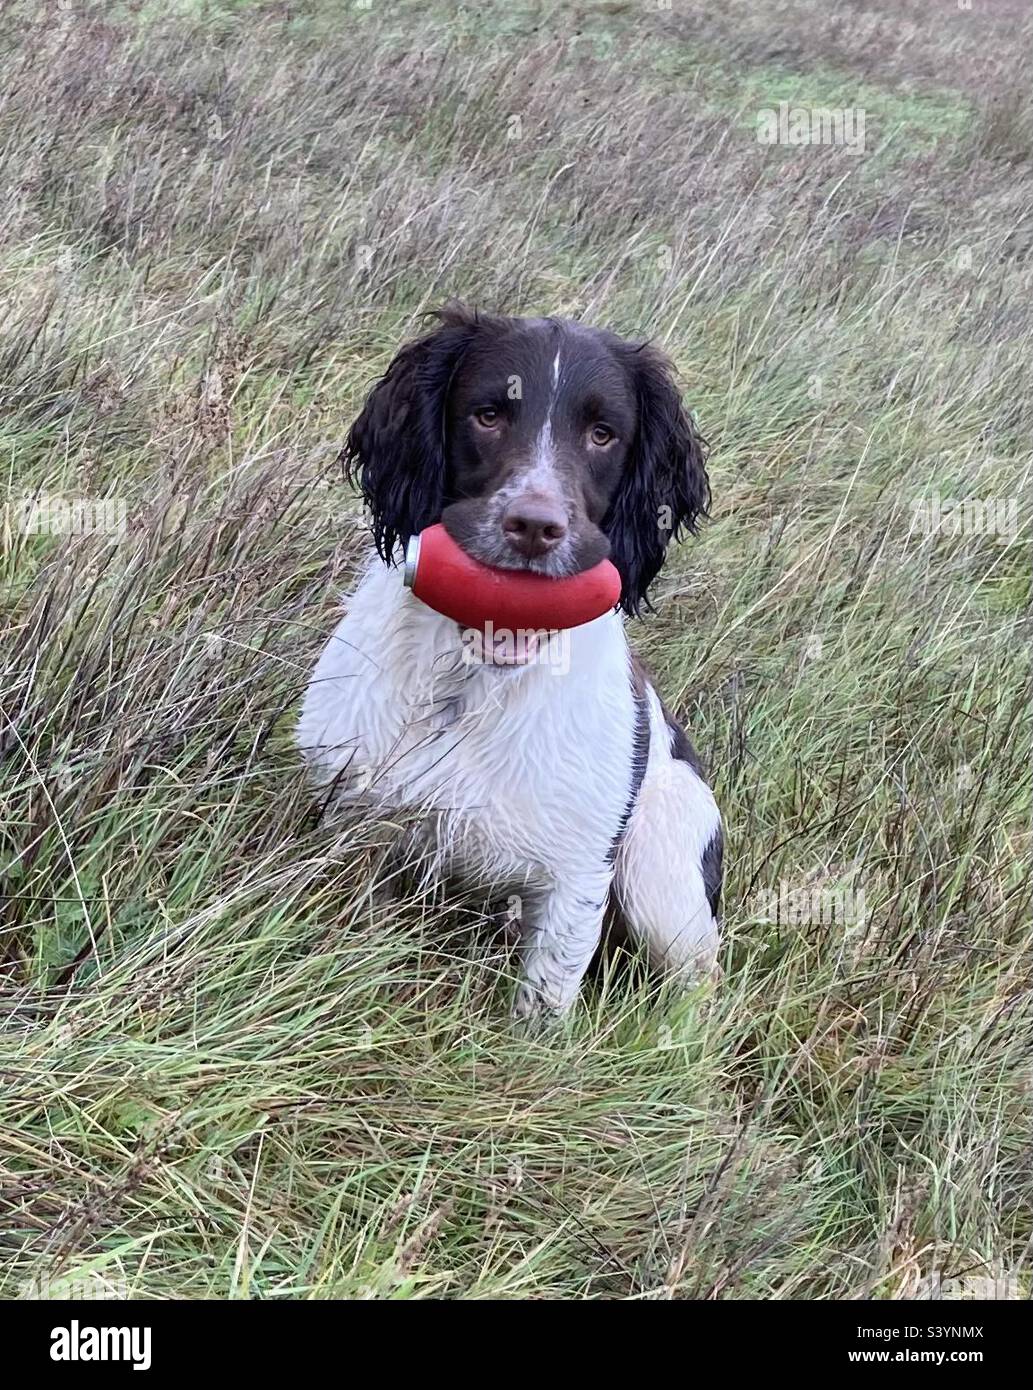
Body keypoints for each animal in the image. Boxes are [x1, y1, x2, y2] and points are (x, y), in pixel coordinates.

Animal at [294, 304, 722, 1023]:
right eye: (488, 415)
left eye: (603, 434)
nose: (534, 527)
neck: (470, 686)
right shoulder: (353, 815)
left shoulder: (578, 874)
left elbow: (540, 1011)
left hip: (662, 863)